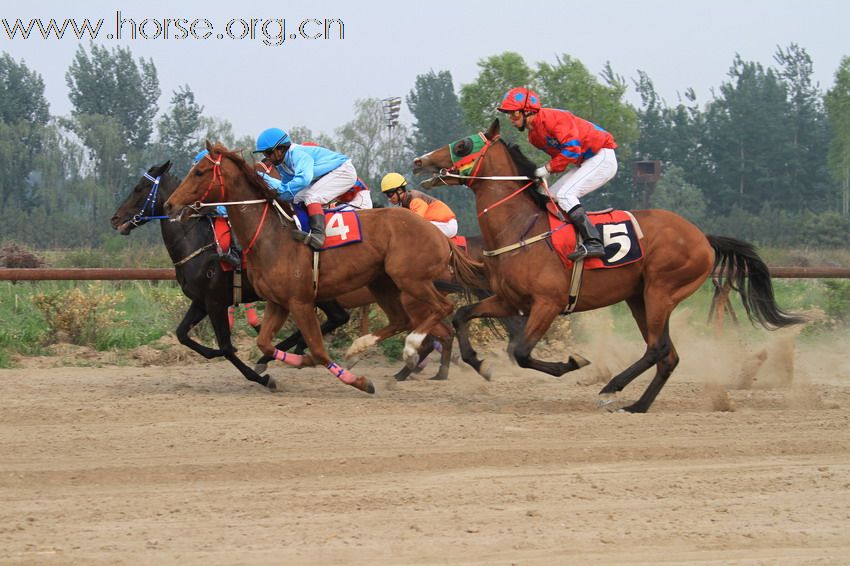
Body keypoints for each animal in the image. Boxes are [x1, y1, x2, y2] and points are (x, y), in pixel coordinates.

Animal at [164, 142, 484, 394]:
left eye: (199, 172)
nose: (169, 204)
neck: (271, 234)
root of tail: (439, 233)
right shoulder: (278, 302)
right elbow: (265, 343)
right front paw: (287, 364)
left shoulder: (300, 301)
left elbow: (317, 350)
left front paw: (359, 381)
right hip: (384, 283)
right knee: (401, 319)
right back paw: (359, 348)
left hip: (411, 280)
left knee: (441, 310)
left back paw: (409, 349)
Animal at [410, 118, 800, 412]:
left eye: (463, 145)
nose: (418, 162)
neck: (521, 227)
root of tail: (702, 237)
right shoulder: (508, 299)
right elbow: (463, 317)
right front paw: (479, 363)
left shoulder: (548, 303)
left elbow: (520, 351)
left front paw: (572, 363)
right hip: (640, 298)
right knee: (668, 355)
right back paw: (638, 406)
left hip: (661, 291)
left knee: (657, 349)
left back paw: (613, 386)